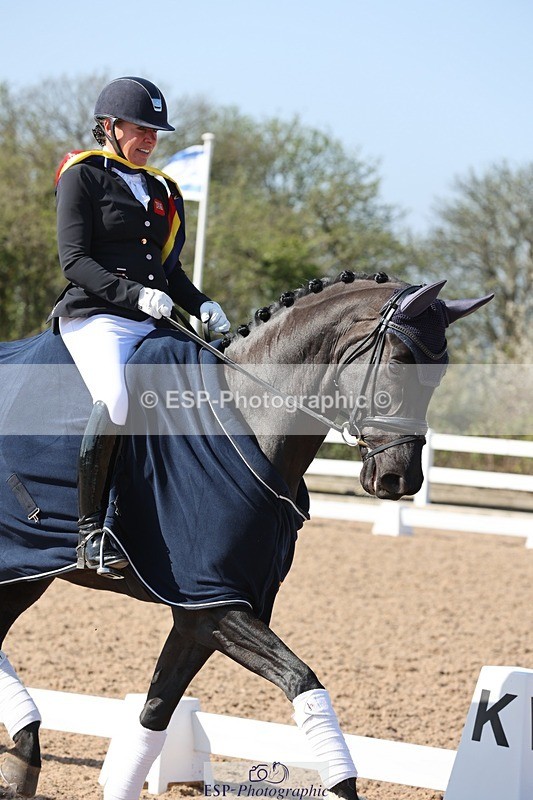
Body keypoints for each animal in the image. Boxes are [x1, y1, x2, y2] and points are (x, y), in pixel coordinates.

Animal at [0, 271, 492, 800]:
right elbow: (303, 680)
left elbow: (155, 715)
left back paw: (25, 752)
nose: (402, 480)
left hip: (25, 576)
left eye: (440, 372)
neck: (247, 420)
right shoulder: (212, 602)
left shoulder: (204, 614)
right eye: (400, 362)